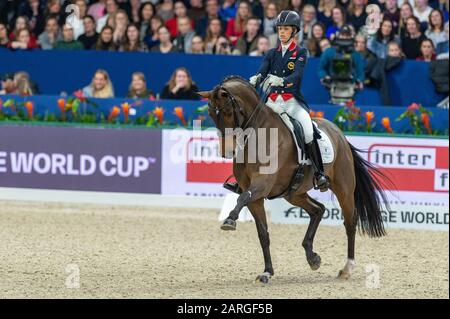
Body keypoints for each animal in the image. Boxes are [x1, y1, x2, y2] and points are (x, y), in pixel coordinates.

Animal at [197, 76, 390, 284]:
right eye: (211, 113)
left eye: (227, 111)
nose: (227, 151)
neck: (258, 134)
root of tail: (338, 133)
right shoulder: (255, 196)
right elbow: (262, 233)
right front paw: (267, 272)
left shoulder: (261, 184)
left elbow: (242, 198)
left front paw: (230, 220)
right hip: (294, 193)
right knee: (317, 210)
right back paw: (312, 257)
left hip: (344, 188)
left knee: (350, 221)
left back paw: (347, 268)